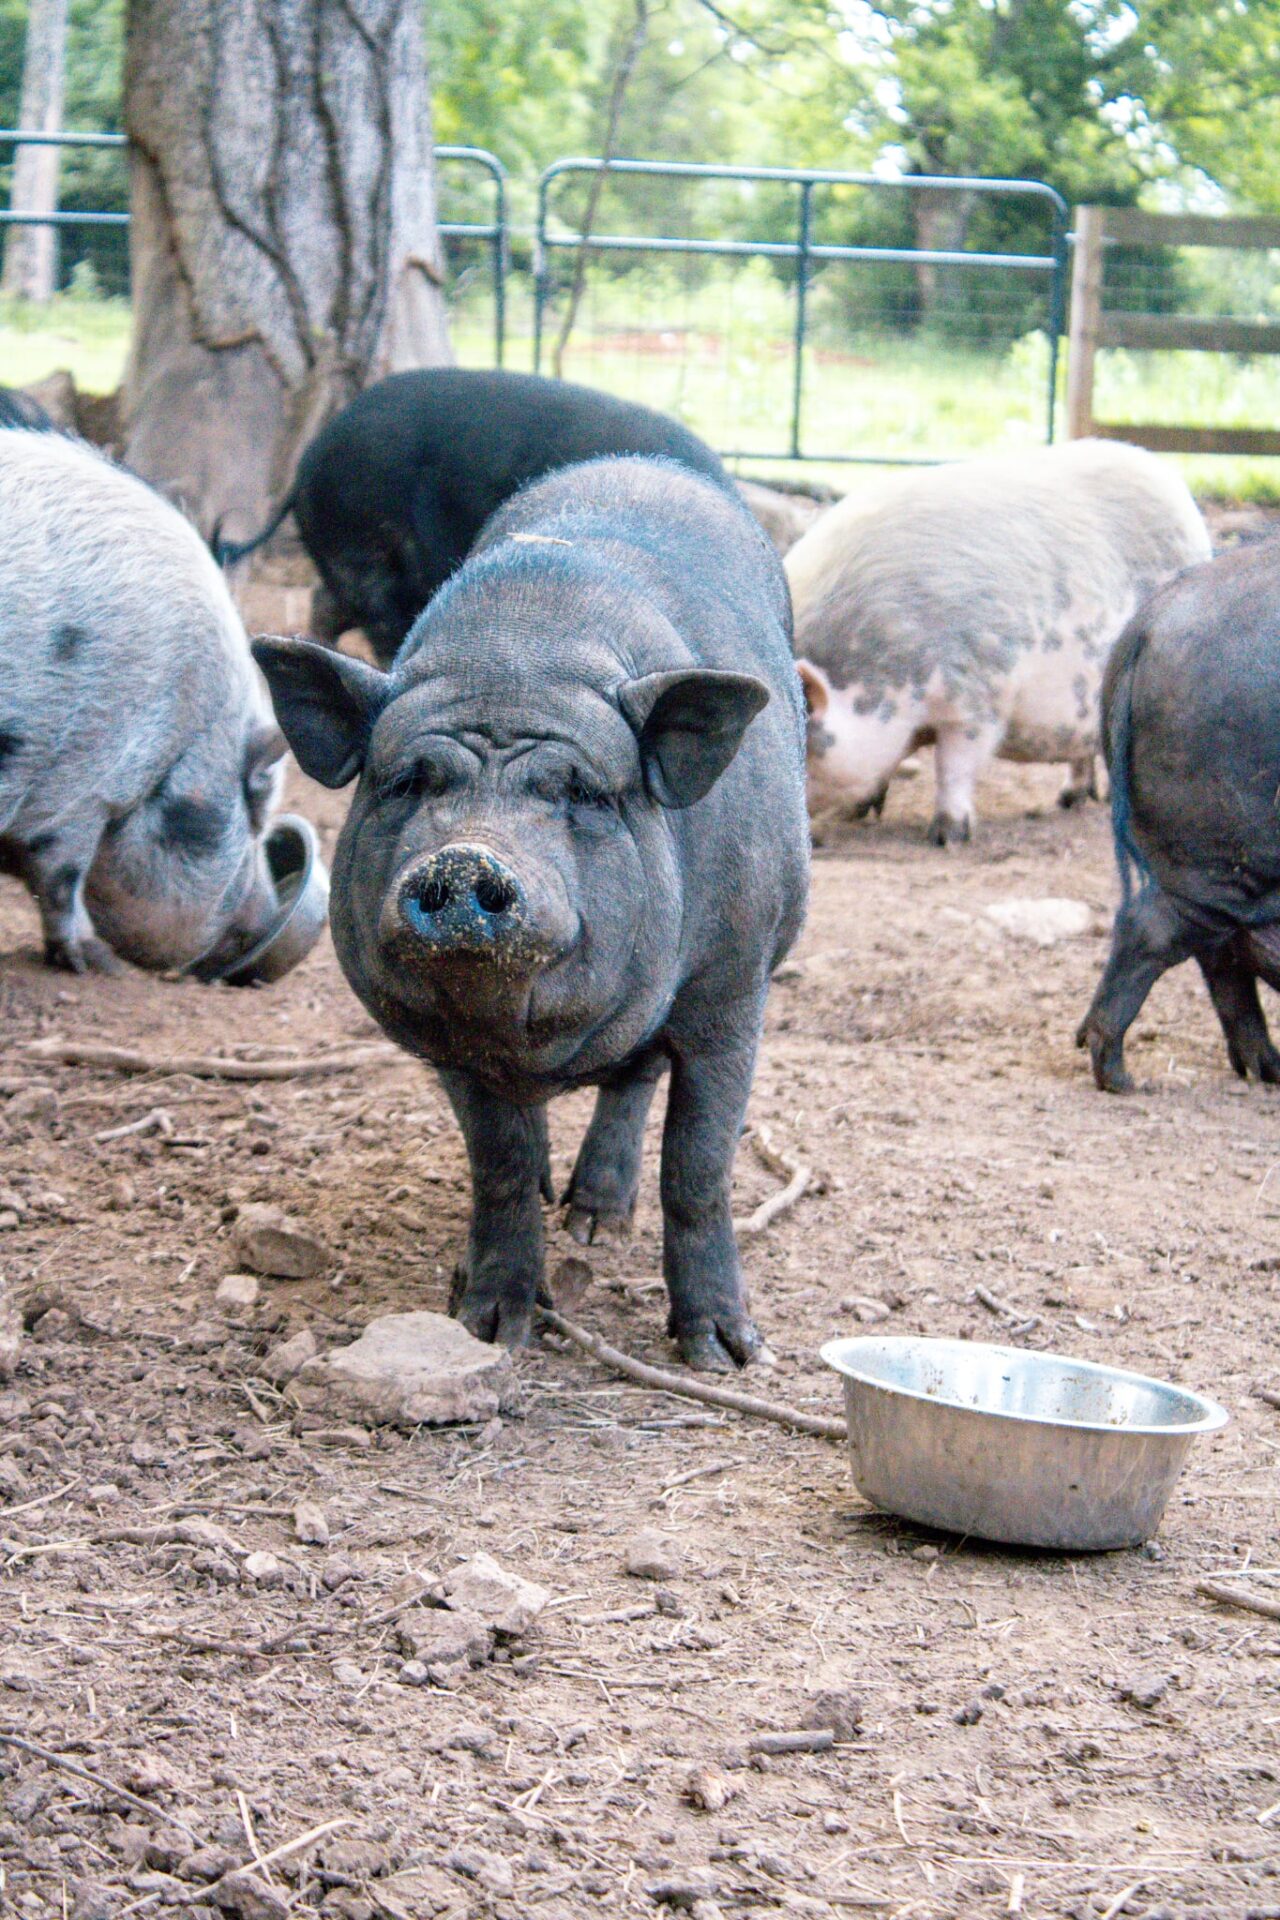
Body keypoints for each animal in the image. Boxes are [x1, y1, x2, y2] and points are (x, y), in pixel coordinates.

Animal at [254, 456, 809, 1370]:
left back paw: (596, 1222)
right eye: (407, 781)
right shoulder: (446, 1045)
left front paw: (726, 1353)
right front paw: (490, 1329)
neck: (523, 653)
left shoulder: (732, 988)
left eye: (580, 791)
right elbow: (501, 1163)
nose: (466, 856)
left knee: (636, 1081)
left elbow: (697, 1166)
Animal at [1078, 538, 1280, 1093]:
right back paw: (1120, 1079)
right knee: (1156, 930)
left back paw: (1266, 1072)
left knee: (1221, 952)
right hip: (1227, 853)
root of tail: (1147, 625)